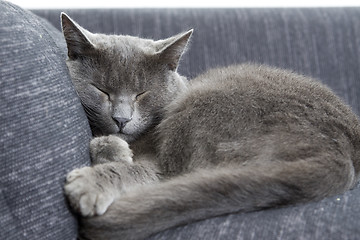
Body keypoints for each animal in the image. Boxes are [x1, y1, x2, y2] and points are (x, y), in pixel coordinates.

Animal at [60, 12, 360, 240]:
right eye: (102, 90)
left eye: (141, 93)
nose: (121, 119)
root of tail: (340, 152)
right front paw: (112, 148)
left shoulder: (156, 161)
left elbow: (136, 169)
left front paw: (92, 181)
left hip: (201, 105)